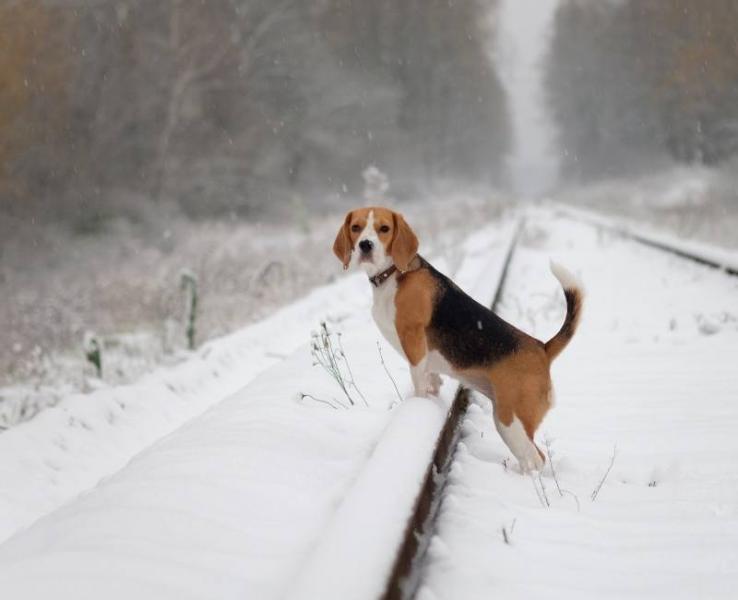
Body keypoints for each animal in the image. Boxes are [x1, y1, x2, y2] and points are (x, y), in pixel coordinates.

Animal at [332, 206, 580, 474]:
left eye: (384, 229)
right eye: (356, 227)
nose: (365, 245)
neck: (394, 273)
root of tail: (542, 348)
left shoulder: (413, 341)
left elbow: (418, 382)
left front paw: (418, 403)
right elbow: (431, 380)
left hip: (511, 420)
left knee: (535, 458)